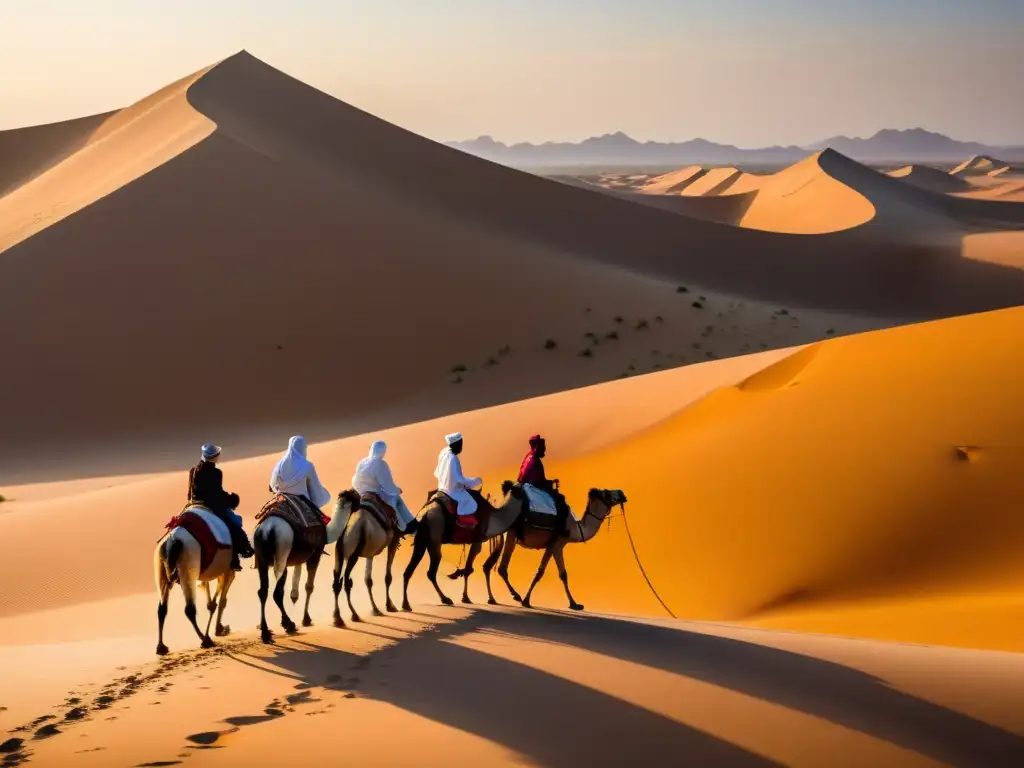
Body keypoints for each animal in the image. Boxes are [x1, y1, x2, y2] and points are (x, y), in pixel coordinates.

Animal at [152, 512, 236, 655]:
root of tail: (171, 542)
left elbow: (211, 599)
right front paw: (219, 629)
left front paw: (219, 627)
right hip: (188, 567)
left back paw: (161, 647)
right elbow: (221, 601)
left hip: (161, 570)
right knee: (189, 609)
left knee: (162, 609)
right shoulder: (228, 569)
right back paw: (205, 640)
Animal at [251, 489, 356, 647]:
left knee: (263, 592)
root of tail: (268, 530)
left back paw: (266, 633)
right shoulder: (315, 554)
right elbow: (309, 586)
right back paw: (288, 625)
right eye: (356, 498)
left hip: (263, 559)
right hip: (282, 552)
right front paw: (306, 619)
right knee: (277, 593)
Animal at [399, 487, 528, 614]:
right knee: (431, 570)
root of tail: (424, 514)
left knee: (410, 571)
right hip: (435, 537)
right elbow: (468, 569)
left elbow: (468, 569)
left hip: (423, 541)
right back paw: (445, 599)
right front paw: (466, 597)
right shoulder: (477, 540)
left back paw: (407, 604)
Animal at [479, 487, 622, 614]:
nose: (622, 493)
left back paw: (492, 599)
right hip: (510, 534)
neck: (574, 528)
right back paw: (515, 595)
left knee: (487, 566)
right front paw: (574, 604)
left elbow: (539, 573)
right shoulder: (558, 545)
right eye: (607, 492)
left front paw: (527, 601)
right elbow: (563, 574)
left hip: (500, 537)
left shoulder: (550, 546)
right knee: (502, 568)